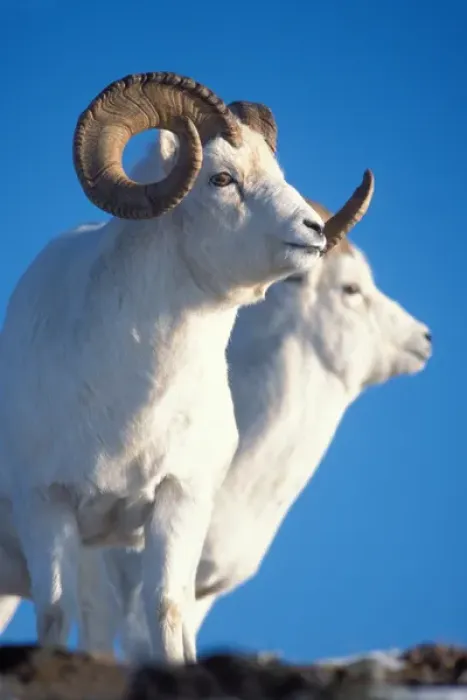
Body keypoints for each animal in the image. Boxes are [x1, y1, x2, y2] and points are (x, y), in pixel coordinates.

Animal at [0, 73, 372, 663]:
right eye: (221, 178)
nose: (312, 230)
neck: (129, 404)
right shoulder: (49, 508)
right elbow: (57, 617)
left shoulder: (177, 502)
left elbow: (167, 614)